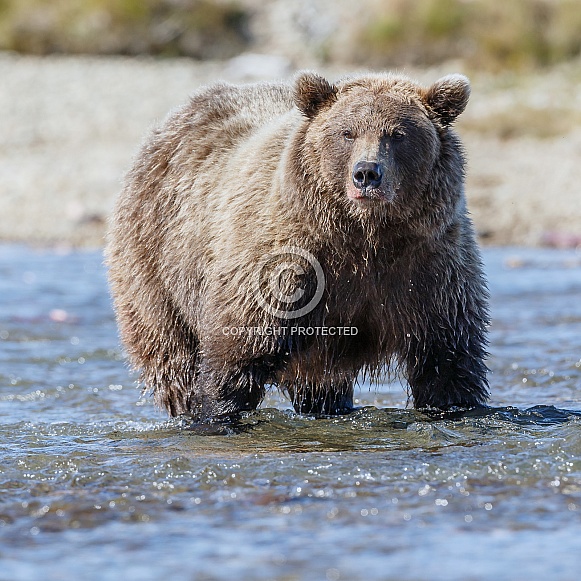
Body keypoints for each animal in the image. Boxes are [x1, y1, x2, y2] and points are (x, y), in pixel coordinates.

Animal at [106, 71, 488, 416]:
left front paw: (456, 406)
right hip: (155, 258)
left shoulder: (429, 270)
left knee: (322, 385)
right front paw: (218, 413)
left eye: (398, 134)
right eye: (347, 132)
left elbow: (446, 362)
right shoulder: (284, 266)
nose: (366, 173)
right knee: (170, 352)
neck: (364, 237)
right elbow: (238, 351)